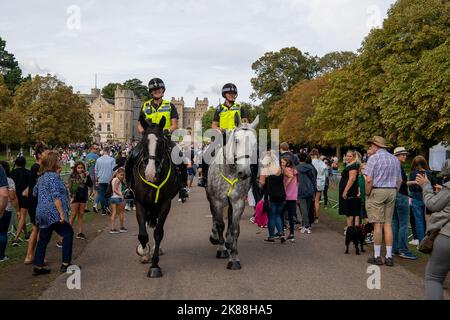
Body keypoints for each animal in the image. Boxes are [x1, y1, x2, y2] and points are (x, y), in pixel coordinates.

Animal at [132, 115, 178, 278]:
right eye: (143, 141)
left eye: (162, 142)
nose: (150, 174)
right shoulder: (139, 202)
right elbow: (142, 234)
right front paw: (143, 252)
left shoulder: (165, 203)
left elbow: (158, 232)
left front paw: (155, 265)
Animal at [206, 114, 258, 268]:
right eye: (236, 140)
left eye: (254, 143)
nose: (244, 173)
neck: (230, 171)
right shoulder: (217, 201)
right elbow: (219, 224)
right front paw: (221, 249)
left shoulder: (238, 201)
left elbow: (235, 228)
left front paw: (234, 258)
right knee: (215, 218)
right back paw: (215, 237)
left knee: (229, 217)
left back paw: (228, 241)